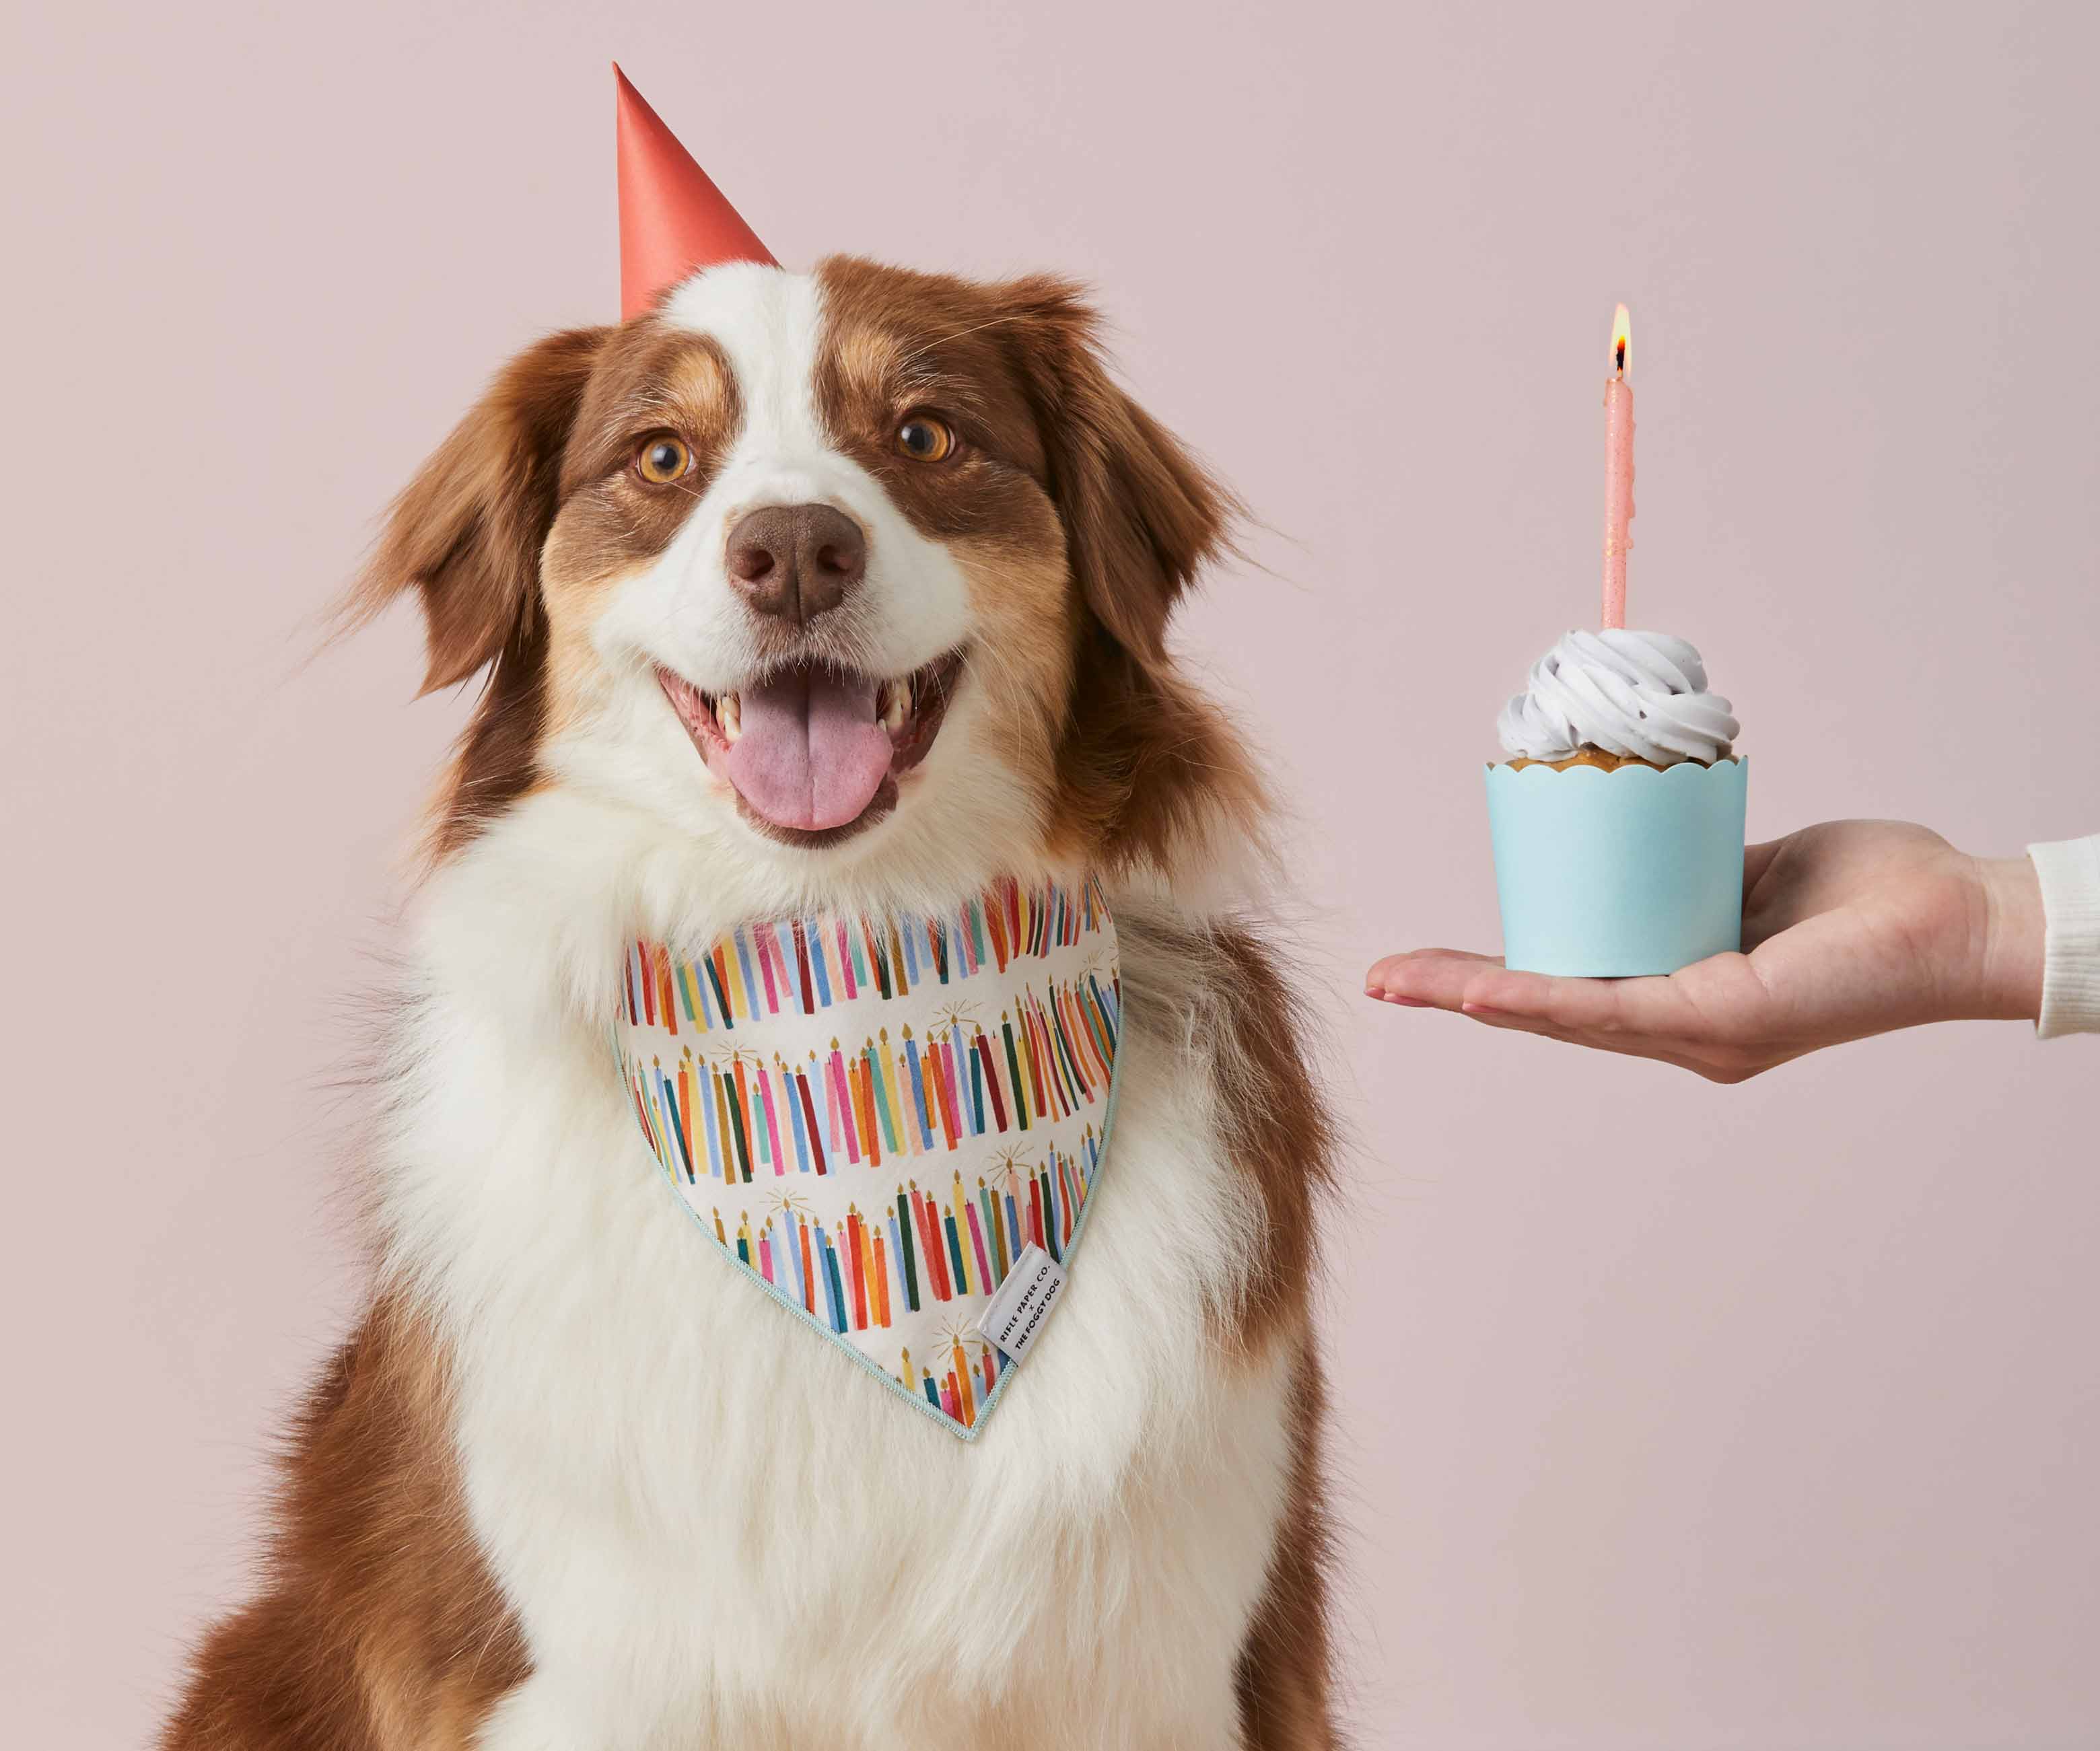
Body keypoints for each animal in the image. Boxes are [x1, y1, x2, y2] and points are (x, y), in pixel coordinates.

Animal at [168, 259, 1343, 1746]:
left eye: (925, 434)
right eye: (664, 457)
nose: (793, 549)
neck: (839, 967)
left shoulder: (1159, 1665)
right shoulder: (595, 1669)